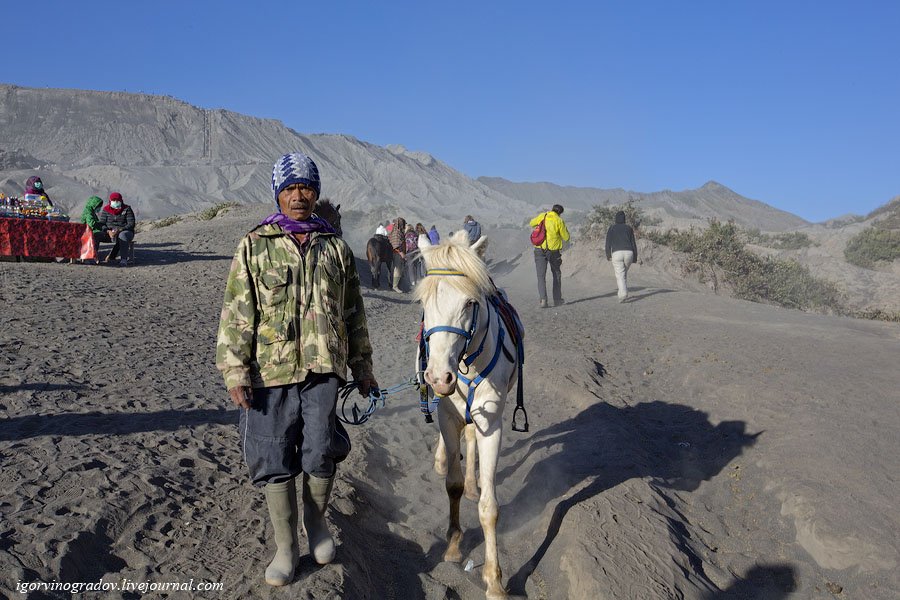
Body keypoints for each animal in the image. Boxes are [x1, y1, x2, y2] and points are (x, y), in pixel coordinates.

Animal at [414, 231, 520, 600]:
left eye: (469, 303)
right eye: (424, 302)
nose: (438, 377)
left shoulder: (492, 424)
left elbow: (489, 507)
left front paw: (494, 580)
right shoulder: (447, 415)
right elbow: (453, 485)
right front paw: (453, 547)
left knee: (472, 439)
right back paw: (442, 459)